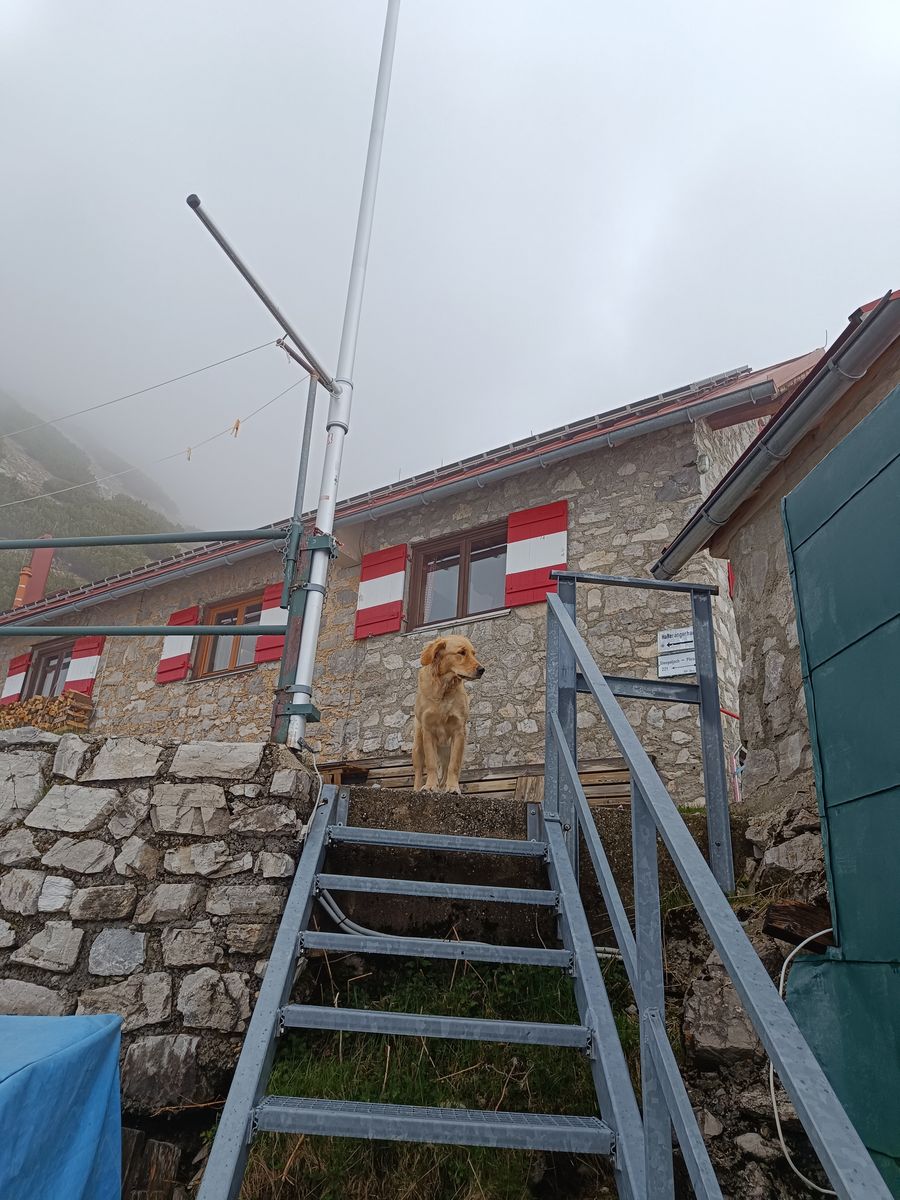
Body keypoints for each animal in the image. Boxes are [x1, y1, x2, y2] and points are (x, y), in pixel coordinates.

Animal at [412, 635, 485, 794]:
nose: (482, 670)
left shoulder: (459, 731)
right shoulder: (428, 731)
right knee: (419, 771)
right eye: (461, 652)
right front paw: (429, 786)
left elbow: (454, 765)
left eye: (473, 653)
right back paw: (418, 788)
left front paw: (452, 787)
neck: (444, 688)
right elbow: (431, 763)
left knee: (446, 769)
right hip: (418, 745)